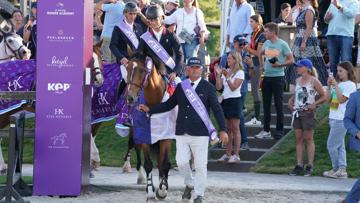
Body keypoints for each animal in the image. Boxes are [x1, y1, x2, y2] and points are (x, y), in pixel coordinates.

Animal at [125, 53, 174, 200]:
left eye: (142, 70)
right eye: (127, 68)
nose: (130, 97)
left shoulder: (166, 137)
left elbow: (164, 164)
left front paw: (162, 191)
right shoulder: (144, 136)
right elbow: (148, 164)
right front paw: (151, 192)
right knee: (136, 150)